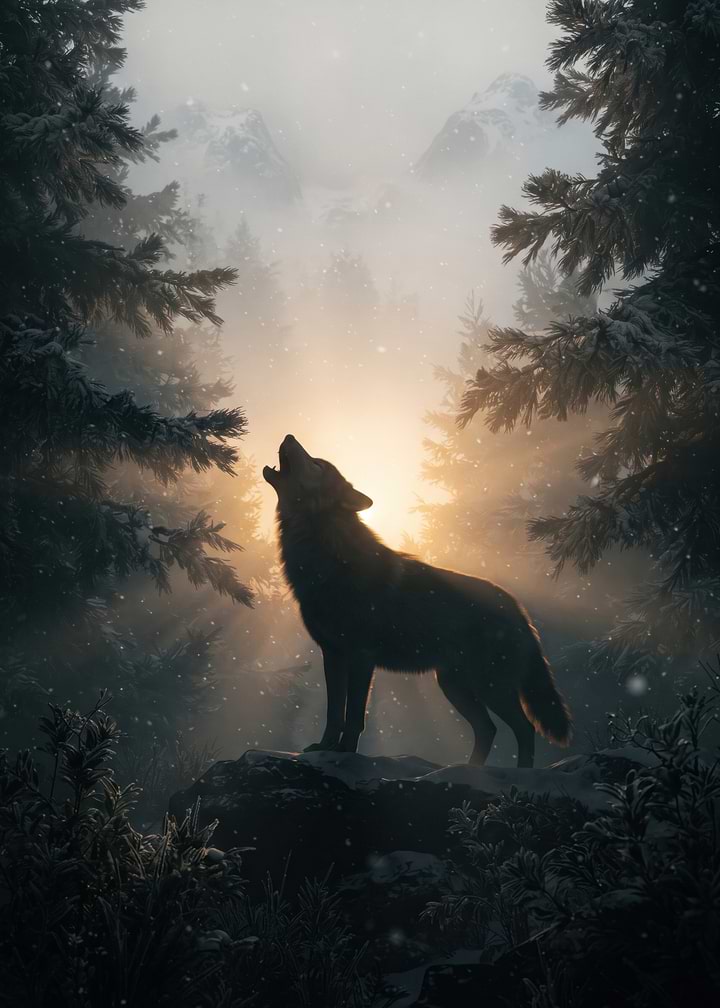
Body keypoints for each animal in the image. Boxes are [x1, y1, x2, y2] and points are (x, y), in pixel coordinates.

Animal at [263, 434, 572, 767]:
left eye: (317, 464)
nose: (289, 436)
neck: (325, 557)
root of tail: (517, 606)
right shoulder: (332, 654)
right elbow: (334, 713)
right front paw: (324, 747)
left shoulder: (360, 656)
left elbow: (354, 715)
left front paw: (345, 752)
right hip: (453, 686)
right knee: (488, 729)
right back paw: (469, 769)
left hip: (489, 686)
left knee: (524, 728)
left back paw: (518, 772)